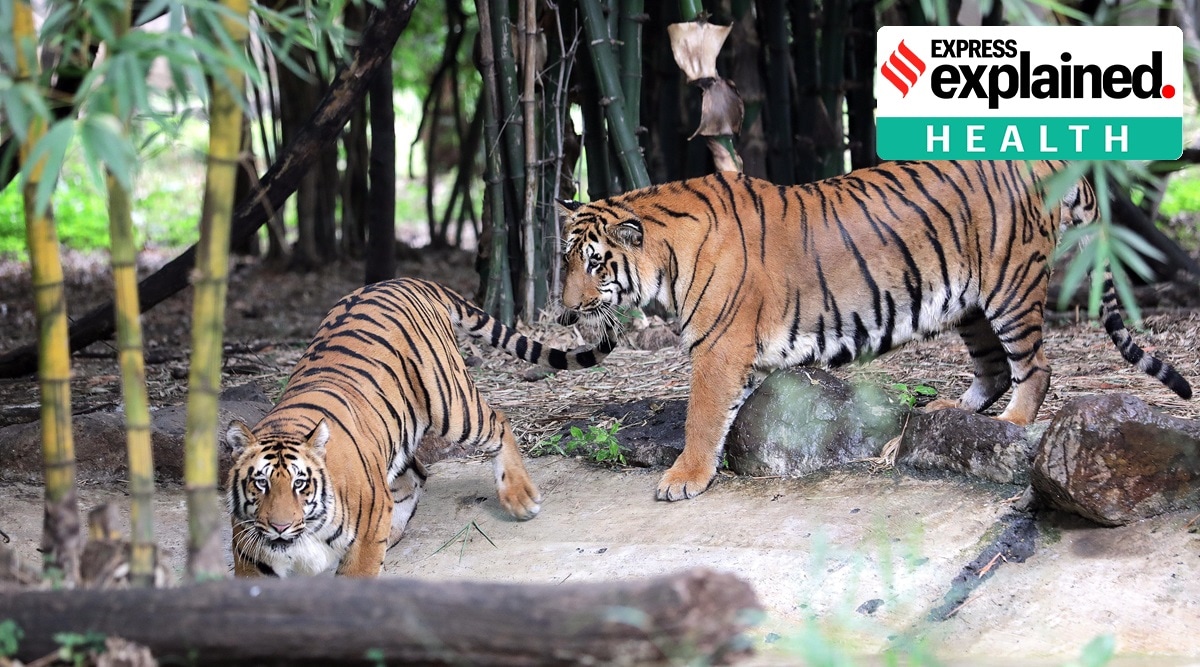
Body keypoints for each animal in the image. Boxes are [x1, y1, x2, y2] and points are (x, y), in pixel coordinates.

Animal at [225, 277, 615, 577]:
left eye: (300, 484)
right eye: (260, 483)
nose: (279, 527)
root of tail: (403, 280)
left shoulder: (362, 540)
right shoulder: (250, 553)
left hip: (452, 405)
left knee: (498, 422)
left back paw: (520, 497)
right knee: (415, 474)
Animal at [557, 160, 1192, 502]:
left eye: (595, 264)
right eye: (565, 262)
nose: (564, 312)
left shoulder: (718, 350)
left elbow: (701, 418)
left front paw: (682, 478)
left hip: (1010, 289)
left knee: (1034, 367)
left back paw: (1011, 425)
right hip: (968, 304)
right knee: (991, 368)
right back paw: (942, 415)